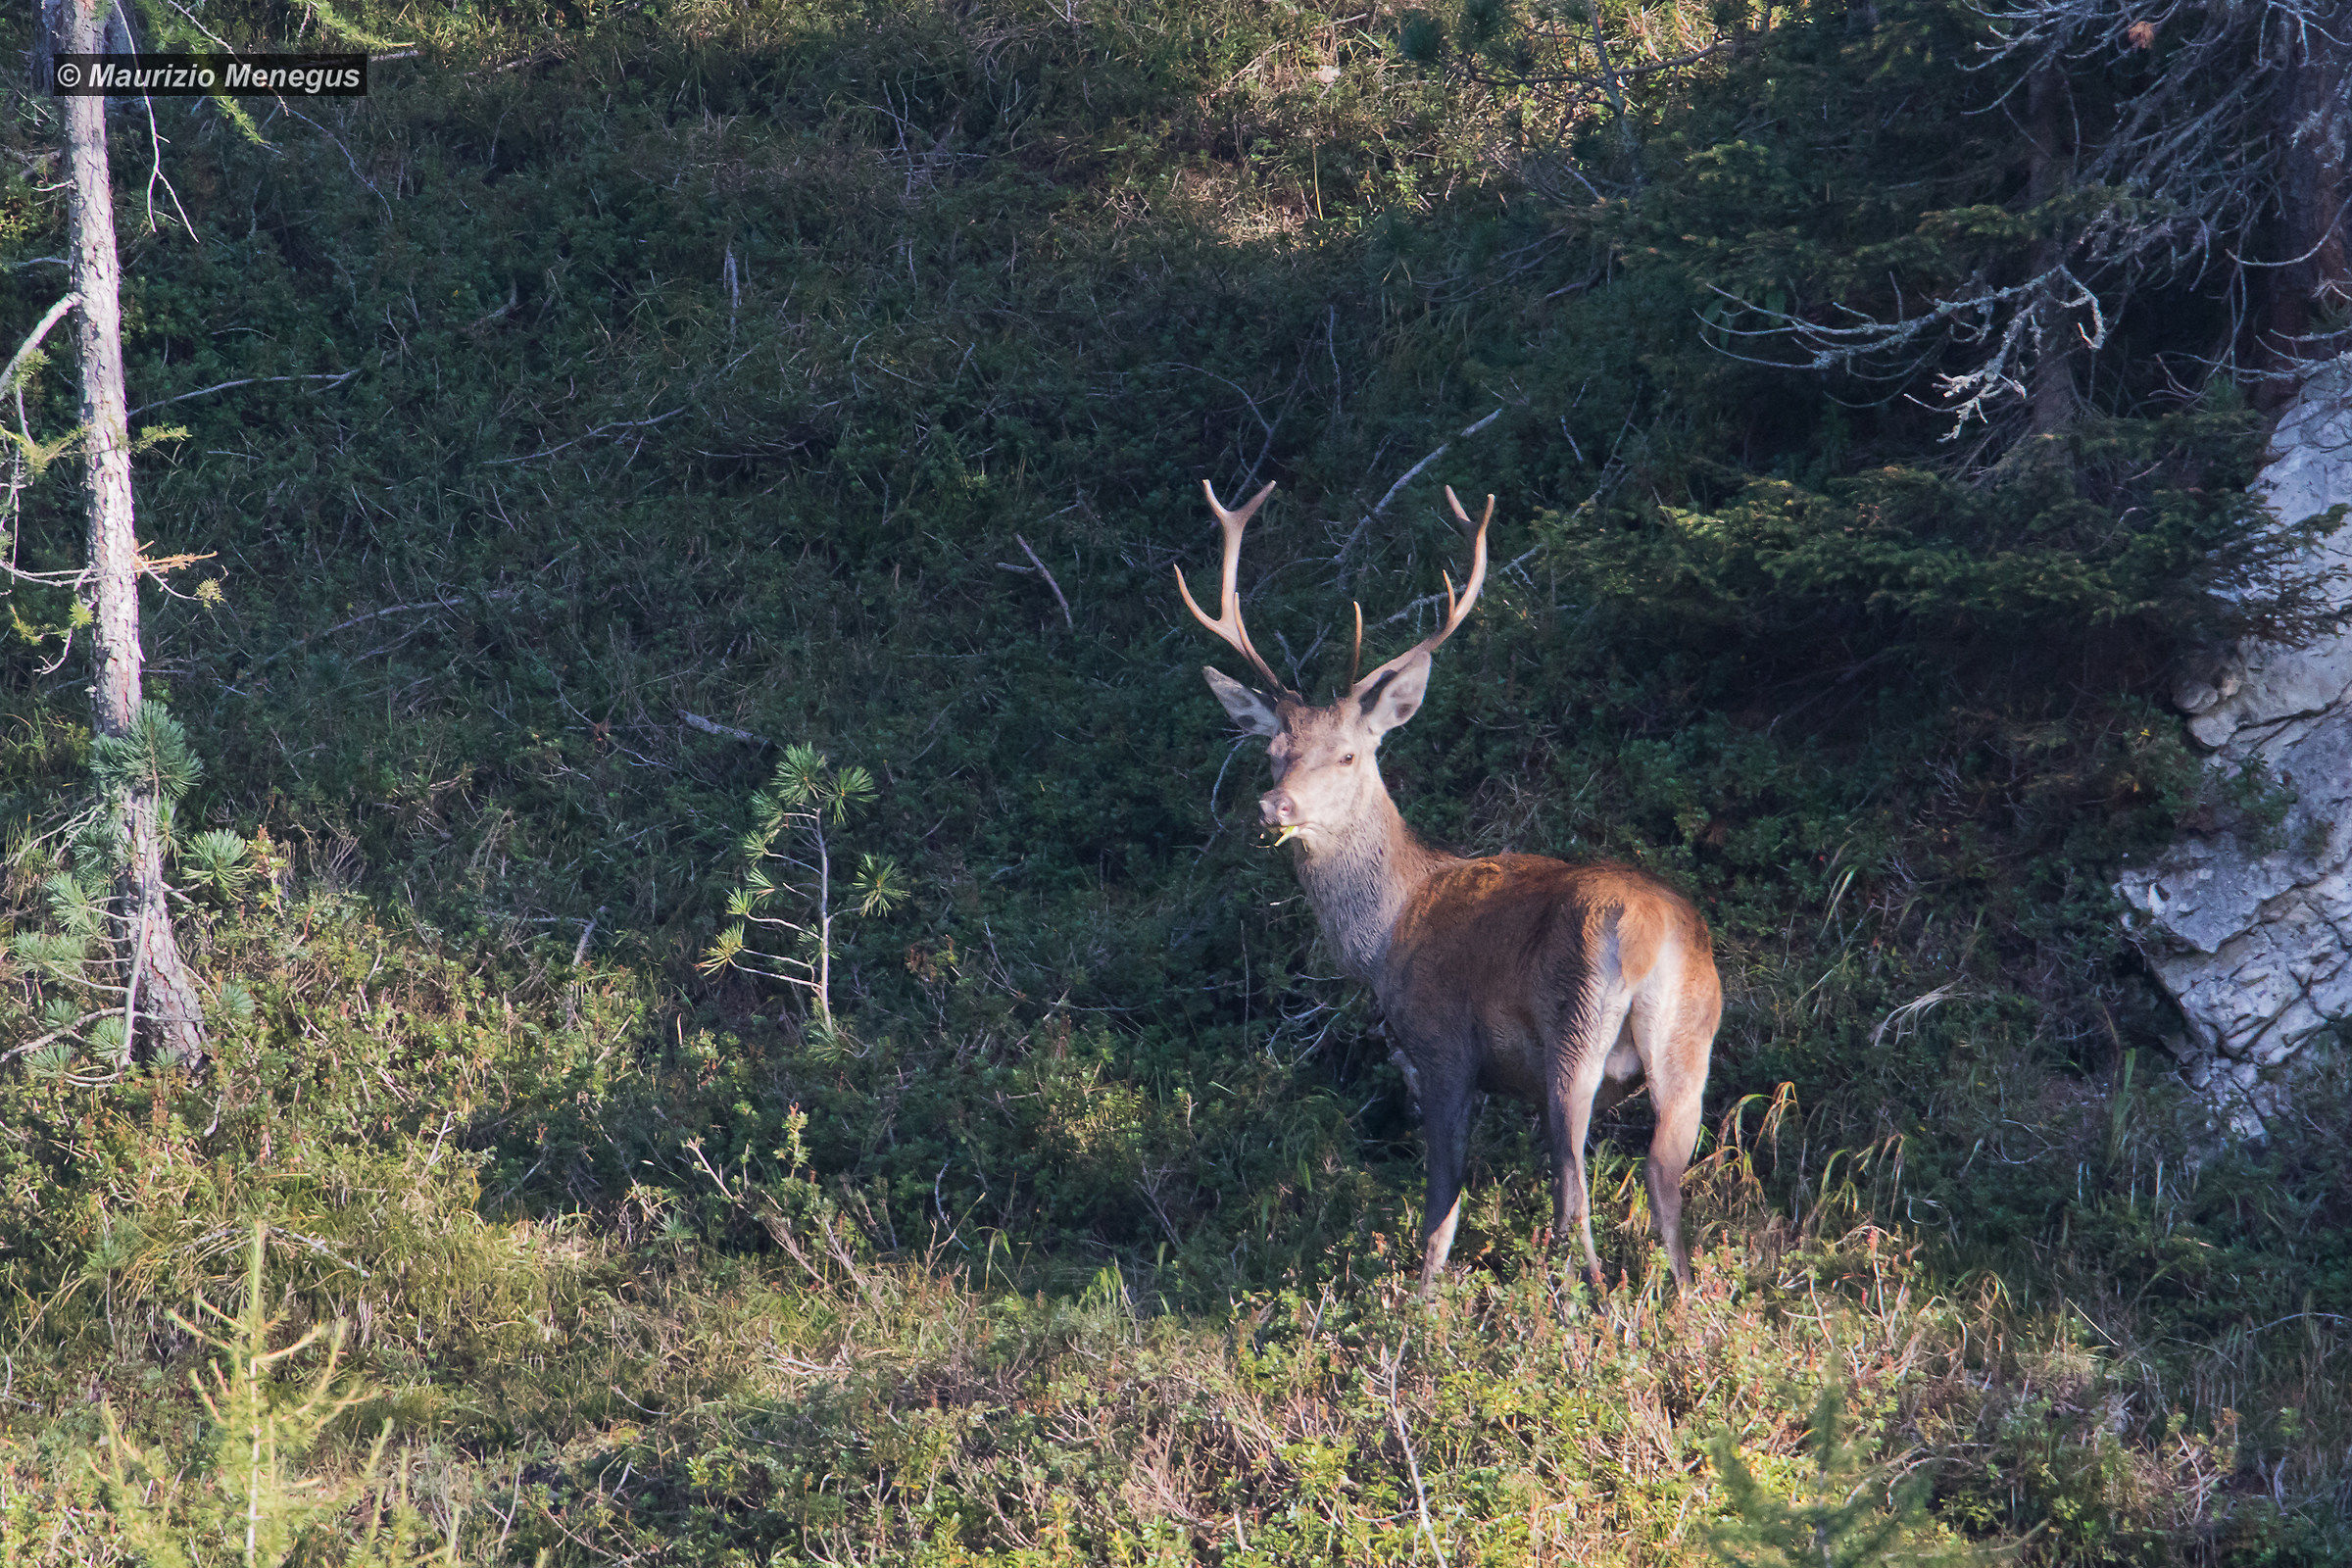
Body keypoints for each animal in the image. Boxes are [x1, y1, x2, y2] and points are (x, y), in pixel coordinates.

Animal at [1177, 479, 1723, 1295]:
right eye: (1273, 750)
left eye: (1347, 755)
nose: (1276, 808)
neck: (1386, 935)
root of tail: (1654, 938)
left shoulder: (1441, 1045)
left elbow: (1442, 1203)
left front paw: (1420, 1303)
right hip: (1692, 1045)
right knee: (1664, 1190)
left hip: (1573, 1037)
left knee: (1573, 1193)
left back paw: (1574, 1302)